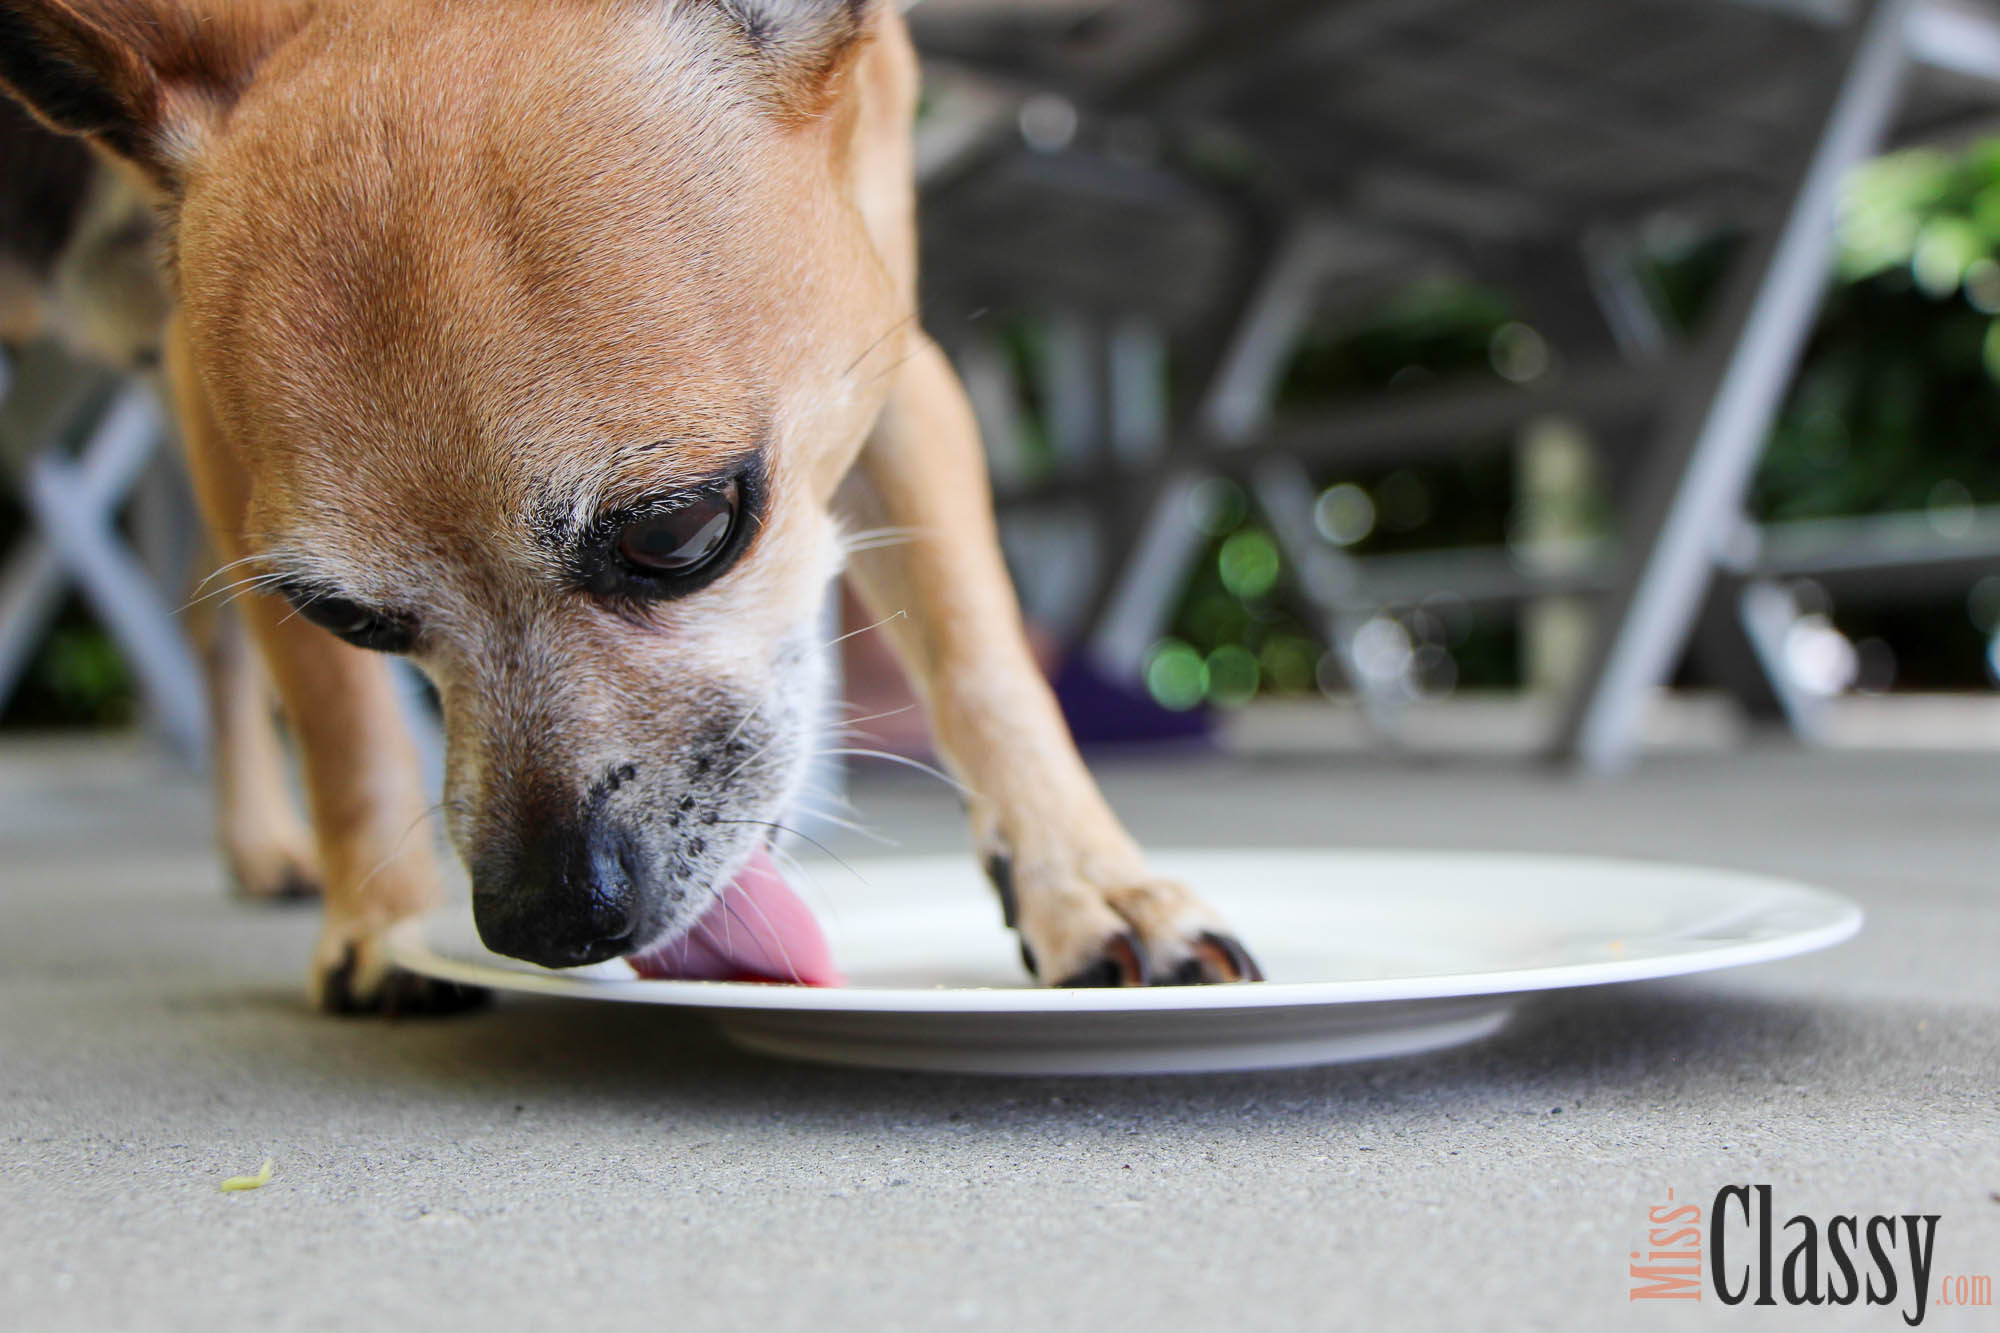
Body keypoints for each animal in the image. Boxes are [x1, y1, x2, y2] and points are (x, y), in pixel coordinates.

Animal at [0, 0, 1256, 1000]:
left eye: (678, 531)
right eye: (347, 618)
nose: (544, 921)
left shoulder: (894, 365)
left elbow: (980, 657)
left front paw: (1089, 881)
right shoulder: (226, 456)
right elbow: (344, 729)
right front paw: (381, 925)